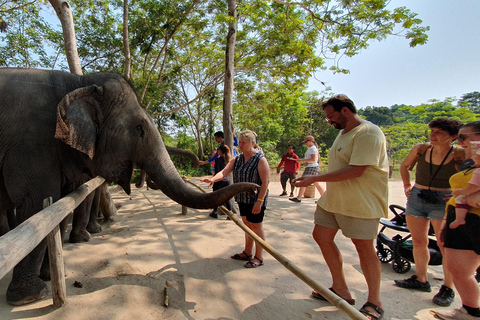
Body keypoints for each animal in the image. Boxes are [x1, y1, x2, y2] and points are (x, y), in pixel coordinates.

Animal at [0, 69, 258, 306]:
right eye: (139, 128)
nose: (255, 189)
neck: (79, 81)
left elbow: (61, 205)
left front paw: (54, 275)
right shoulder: (31, 143)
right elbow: (39, 205)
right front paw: (30, 296)